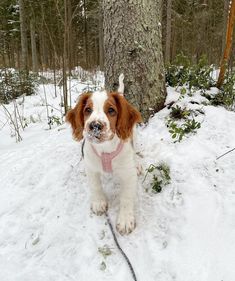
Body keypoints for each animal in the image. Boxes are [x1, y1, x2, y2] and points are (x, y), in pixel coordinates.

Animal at [67, 75, 142, 234]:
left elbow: (126, 198)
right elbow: (95, 186)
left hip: (133, 134)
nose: (95, 126)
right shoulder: (91, 168)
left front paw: (125, 220)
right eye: (87, 110)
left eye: (111, 110)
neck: (105, 149)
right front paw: (98, 203)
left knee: (135, 150)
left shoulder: (128, 175)